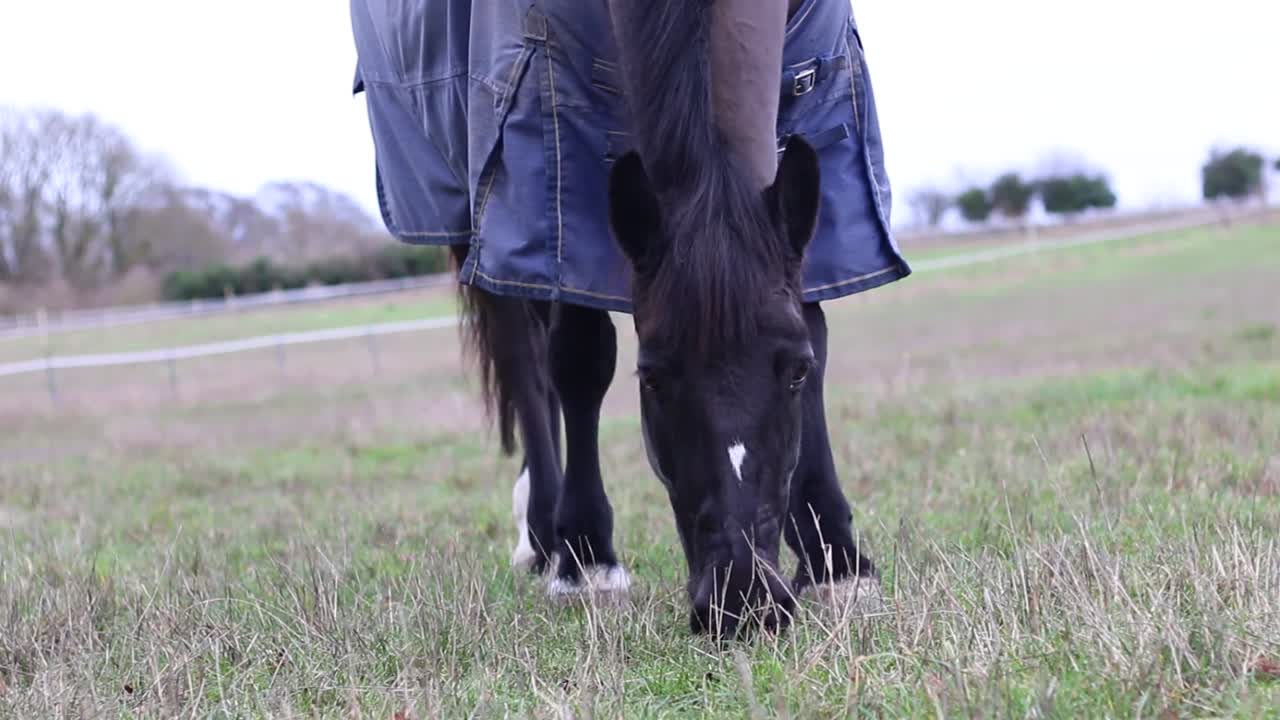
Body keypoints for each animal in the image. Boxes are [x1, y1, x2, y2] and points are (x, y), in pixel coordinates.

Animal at [350, 0, 909, 637]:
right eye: (653, 379)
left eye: (795, 371)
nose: (742, 597)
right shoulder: (556, 146)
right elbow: (580, 358)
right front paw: (587, 561)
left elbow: (813, 321)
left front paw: (836, 562)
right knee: (526, 359)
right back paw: (543, 534)